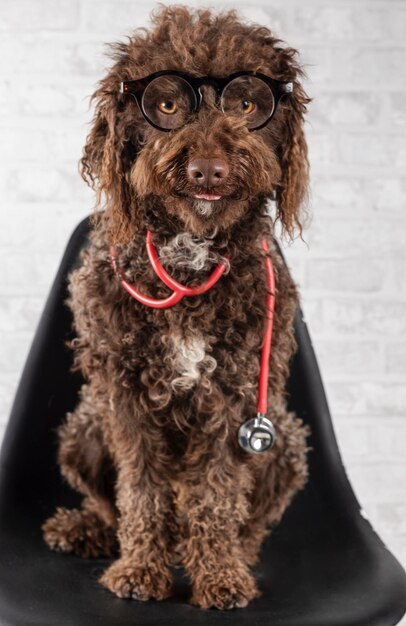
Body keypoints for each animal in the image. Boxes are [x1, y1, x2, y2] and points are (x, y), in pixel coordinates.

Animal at [42, 4, 310, 608]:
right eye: (166, 106)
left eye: (246, 104)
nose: (208, 169)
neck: (189, 255)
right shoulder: (123, 397)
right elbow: (141, 490)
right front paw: (141, 571)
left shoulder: (234, 400)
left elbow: (217, 494)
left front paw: (220, 576)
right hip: (83, 428)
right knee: (109, 502)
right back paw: (86, 530)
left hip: (283, 441)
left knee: (247, 520)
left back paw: (235, 554)